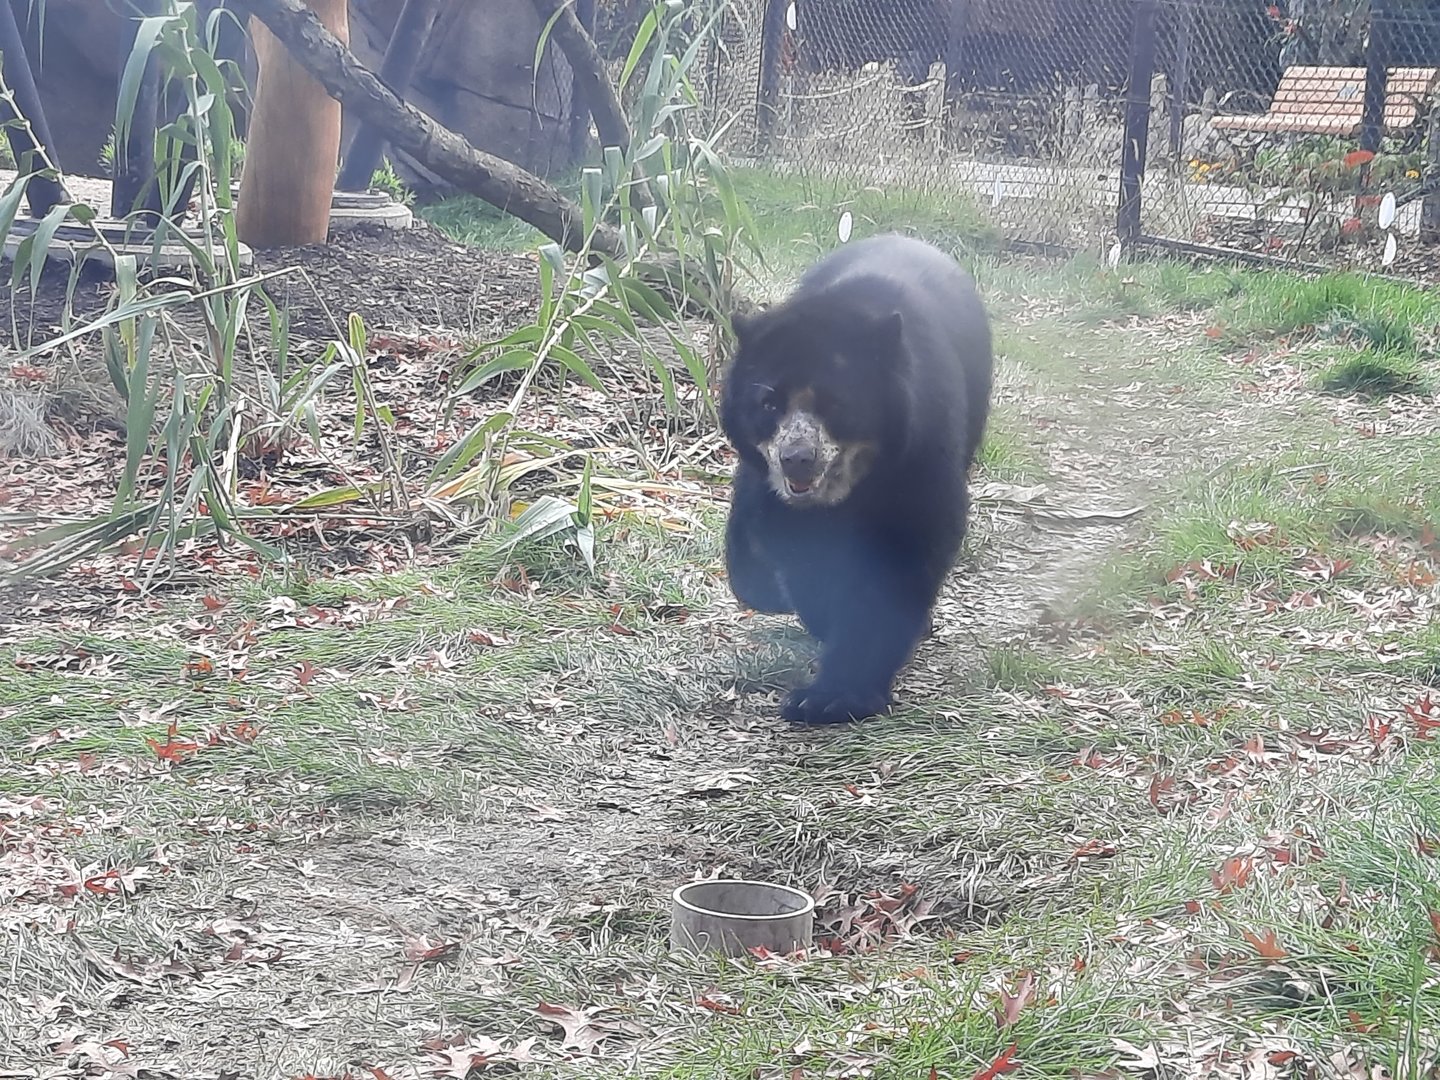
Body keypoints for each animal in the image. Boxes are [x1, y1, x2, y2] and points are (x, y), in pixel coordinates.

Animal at [719, 233, 994, 726]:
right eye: (769, 403)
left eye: (836, 403)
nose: (797, 459)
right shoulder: (773, 488)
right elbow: (796, 552)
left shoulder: (921, 457)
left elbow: (902, 562)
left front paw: (832, 697)